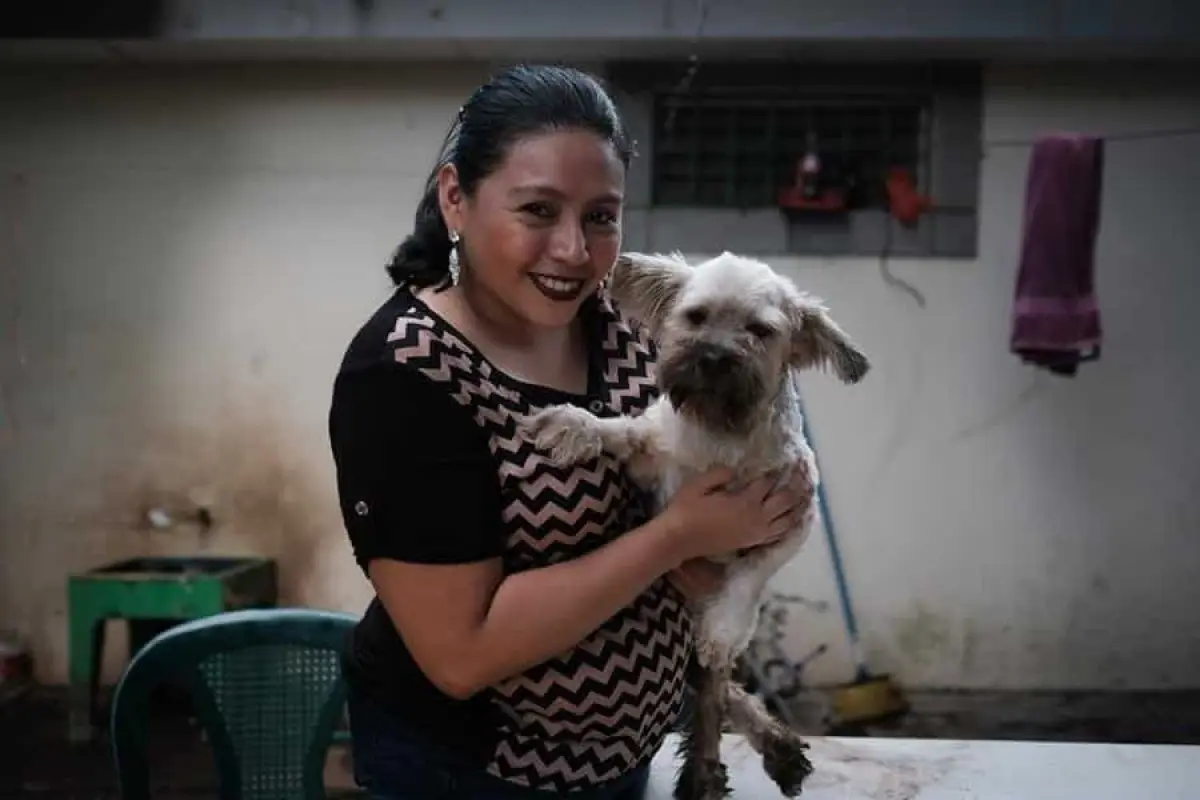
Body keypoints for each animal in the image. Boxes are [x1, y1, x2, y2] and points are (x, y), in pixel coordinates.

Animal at [520, 251, 868, 800]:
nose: (714, 358)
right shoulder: (652, 461)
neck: (720, 429)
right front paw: (574, 425)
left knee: (720, 690)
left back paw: (759, 751)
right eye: (696, 316)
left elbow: (748, 580)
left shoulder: (793, 517)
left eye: (759, 330)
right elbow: (618, 431)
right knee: (718, 694)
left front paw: (724, 627)